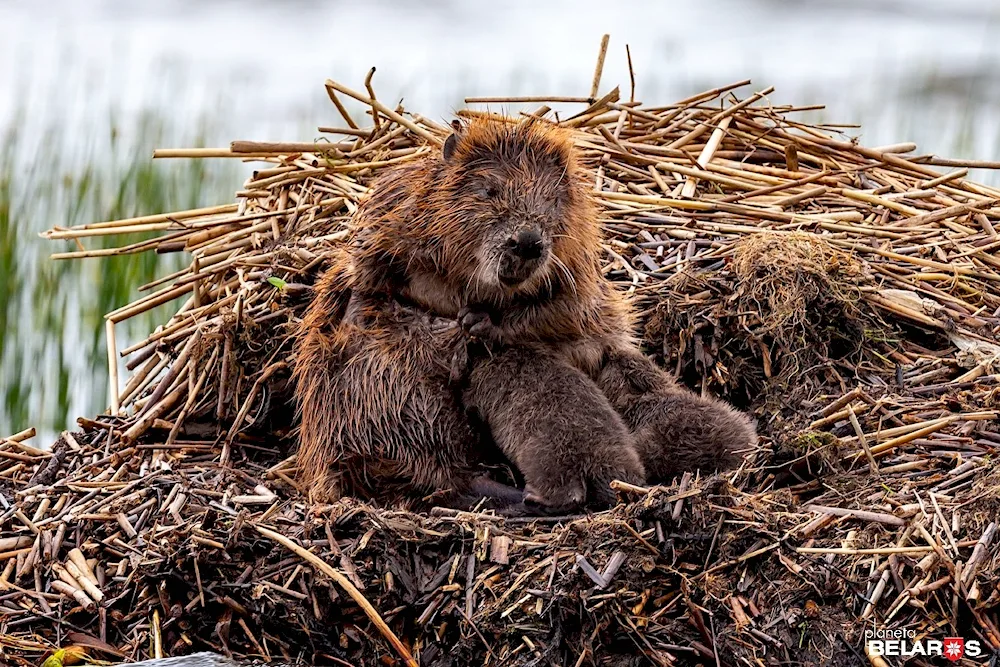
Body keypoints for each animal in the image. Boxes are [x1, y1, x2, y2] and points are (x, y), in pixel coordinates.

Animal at [292, 116, 752, 512]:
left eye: (551, 198)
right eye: (488, 190)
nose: (527, 242)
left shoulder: (579, 260)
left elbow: (567, 308)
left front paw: (479, 324)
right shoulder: (394, 212)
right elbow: (366, 279)